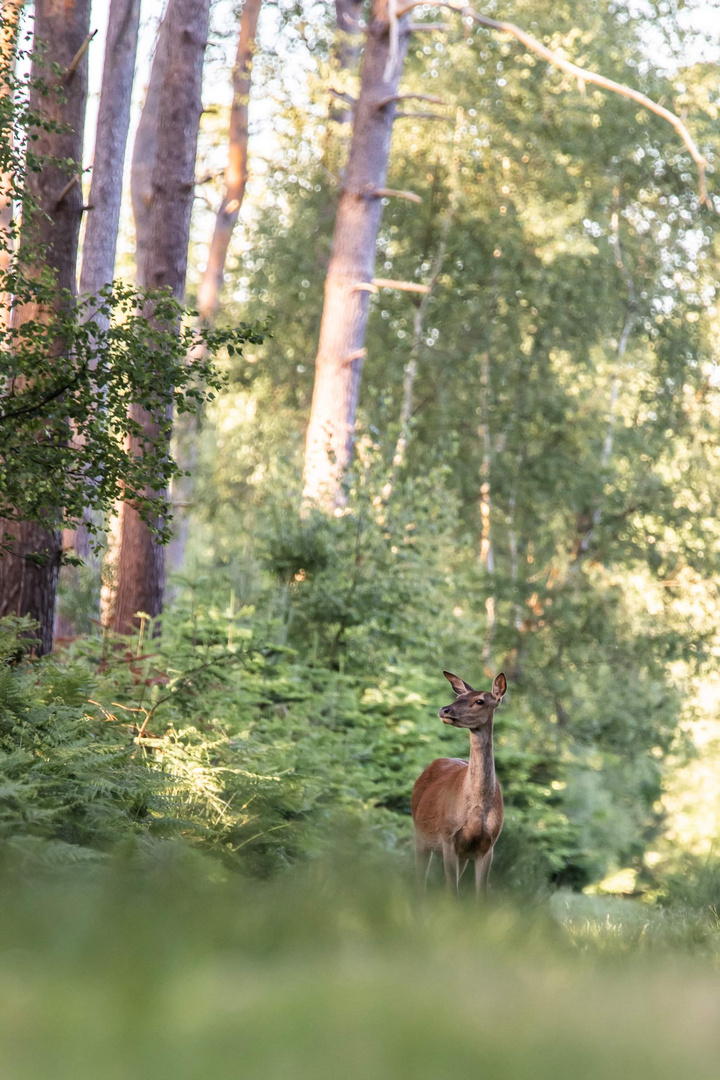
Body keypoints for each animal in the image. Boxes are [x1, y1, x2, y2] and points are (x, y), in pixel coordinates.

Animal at [410, 665, 507, 894]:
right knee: (419, 885)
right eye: (458, 696)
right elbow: (452, 893)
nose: (444, 710)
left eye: (479, 701)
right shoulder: (448, 838)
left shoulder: (488, 846)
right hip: (420, 834)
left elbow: (480, 895)